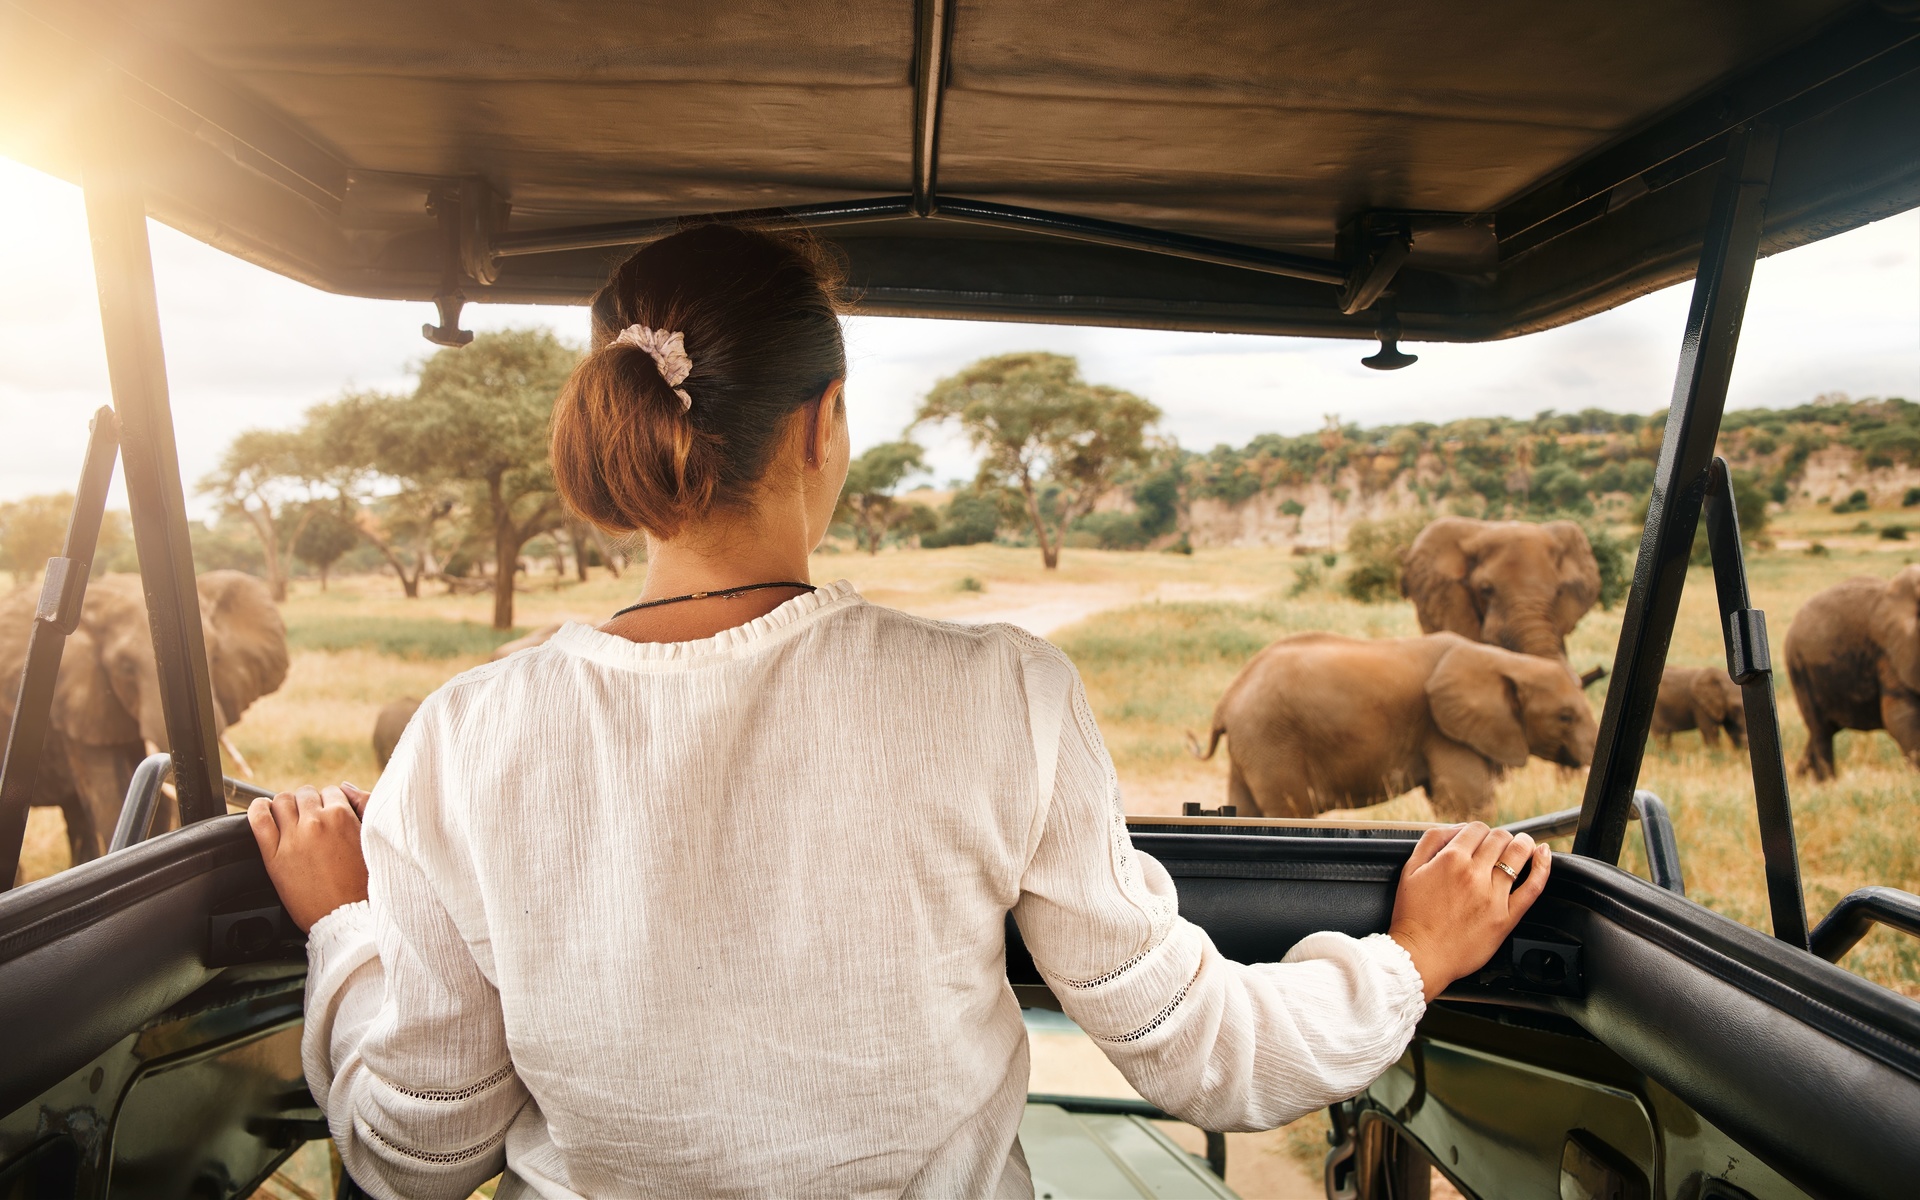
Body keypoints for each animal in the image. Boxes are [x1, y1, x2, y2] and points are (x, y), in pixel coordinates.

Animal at [1190, 625, 1597, 821]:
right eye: (1565, 717)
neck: (1506, 661)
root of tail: (1227, 700)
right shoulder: (1443, 730)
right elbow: (1469, 804)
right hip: (1272, 742)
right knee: (1291, 811)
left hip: (1253, 746)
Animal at [1774, 568, 1920, 783]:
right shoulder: (1889, 654)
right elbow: (1900, 717)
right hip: (1799, 668)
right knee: (1820, 730)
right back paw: (1827, 784)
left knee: (1823, 730)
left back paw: (1801, 780)